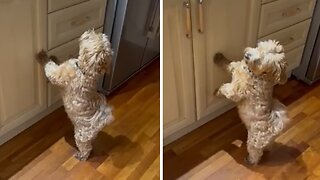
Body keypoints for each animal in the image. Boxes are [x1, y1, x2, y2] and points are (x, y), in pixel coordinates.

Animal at [37, 29, 114, 160]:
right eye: (100, 35)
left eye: (90, 37)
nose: (91, 29)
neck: (84, 71)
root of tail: (100, 123)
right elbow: (57, 63)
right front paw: (54, 56)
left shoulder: (57, 75)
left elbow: (49, 66)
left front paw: (43, 56)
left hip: (81, 135)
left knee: (86, 148)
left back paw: (81, 156)